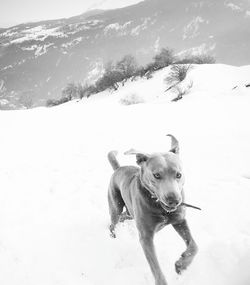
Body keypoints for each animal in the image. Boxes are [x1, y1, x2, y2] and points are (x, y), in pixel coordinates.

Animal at [107, 135, 197, 284]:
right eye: (157, 175)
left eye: (178, 175)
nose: (173, 200)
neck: (160, 208)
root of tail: (118, 169)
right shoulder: (146, 237)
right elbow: (156, 267)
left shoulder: (180, 221)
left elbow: (194, 246)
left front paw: (181, 264)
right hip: (116, 205)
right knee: (113, 222)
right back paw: (113, 236)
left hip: (131, 212)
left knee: (124, 216)